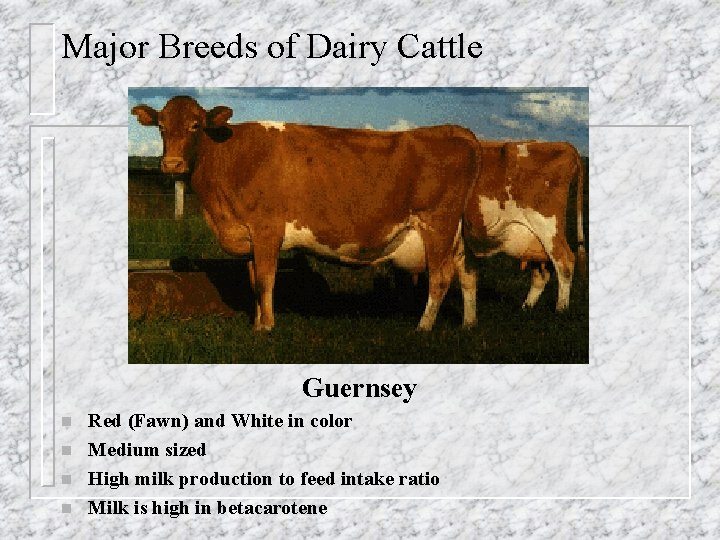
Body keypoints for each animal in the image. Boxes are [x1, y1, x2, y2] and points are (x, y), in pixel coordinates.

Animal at [131, 96, 481, 331]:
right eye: (161, 126)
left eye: (196, 125)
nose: (172, 164)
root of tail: (454, 131)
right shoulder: (249, 236)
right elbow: (253, 279)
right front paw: (257, 323)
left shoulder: (267, 229)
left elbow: (265, 280)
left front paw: (267, 327)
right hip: (456, 234)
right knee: (467, 273)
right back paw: (468, 324)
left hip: (438, 224)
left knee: (441, 277)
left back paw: (423, 327)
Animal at [458, 140, 586, 324]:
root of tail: (565, 145)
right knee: (542, 273)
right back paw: (525, 309)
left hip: (548, 227)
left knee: (565, 261)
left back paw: (561, 310)